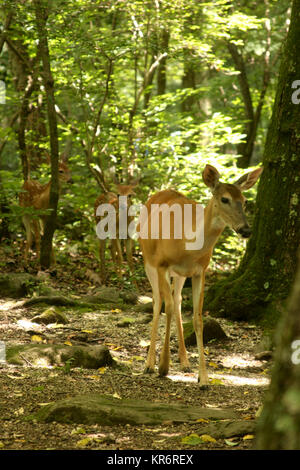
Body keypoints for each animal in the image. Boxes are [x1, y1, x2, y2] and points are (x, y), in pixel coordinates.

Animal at [138, 163, 262, 388]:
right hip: (147, 259)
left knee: (177, 300)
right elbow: (166, 308)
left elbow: (197, 318)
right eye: (224, 199)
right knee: (158, 302)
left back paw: (185, 362)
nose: (246, 230)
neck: (187, 244)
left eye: (245, 200)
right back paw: (149, 364)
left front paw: (203, 378)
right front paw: (163, 366)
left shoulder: (200, 271)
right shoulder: (161, 264)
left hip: (180, 274)